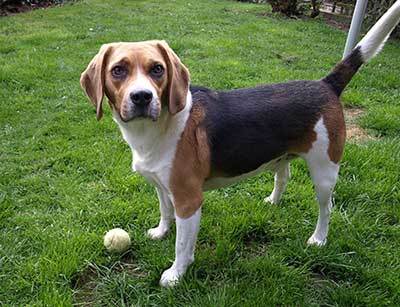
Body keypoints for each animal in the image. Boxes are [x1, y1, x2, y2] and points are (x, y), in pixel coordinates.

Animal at [80, 3, 400, 288]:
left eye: (157, 69)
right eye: (118, 70)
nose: (142, 97)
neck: (157, 128)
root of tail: (325, 84)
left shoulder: (188, 200)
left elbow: (183, 246)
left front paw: (176, 275)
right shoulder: (161, 186)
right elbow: (164, 212)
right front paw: (161, 232)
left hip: (324, 171)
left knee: (326, 207)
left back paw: (319, 239)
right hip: (284, 158)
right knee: (283, 176)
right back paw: (273, 201)